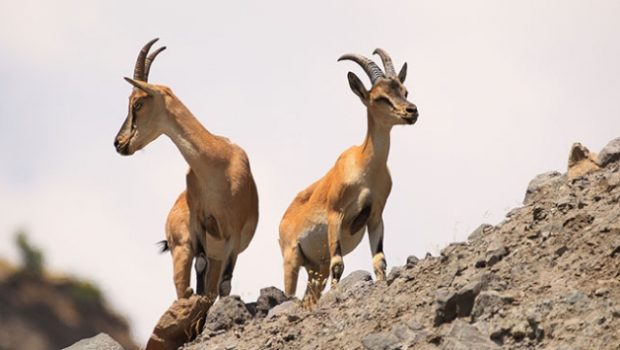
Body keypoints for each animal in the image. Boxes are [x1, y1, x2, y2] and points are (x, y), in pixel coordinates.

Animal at [115, 39, 258, 300]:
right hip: (182, 250)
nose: (119, 143)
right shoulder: (198, 225)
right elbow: (200, 266)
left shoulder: (233, 236)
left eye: (138, 103)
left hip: (219, 253)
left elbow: (226, 285)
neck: (220, 163)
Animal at [280, 47, 416, 304]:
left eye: (404, 90)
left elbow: (379, 261)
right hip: (291, 260)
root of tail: (283, 219)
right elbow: (339, 264)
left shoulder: (375, 216)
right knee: (290, 293)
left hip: (316, 268)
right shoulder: (336, 214)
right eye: (379, 97)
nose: (411, 111)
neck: (365, 169)